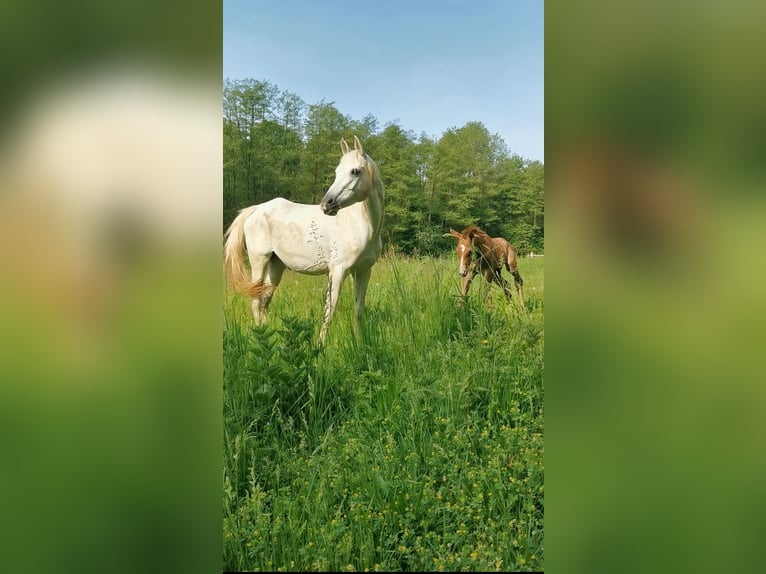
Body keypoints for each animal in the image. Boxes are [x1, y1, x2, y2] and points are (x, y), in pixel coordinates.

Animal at [224, 136, 385, 344]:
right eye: (337, 172)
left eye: (355, 171)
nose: (327, 204)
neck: (363, 226)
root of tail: (256, 209)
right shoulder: (337, 271)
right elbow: (329, 311)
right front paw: (320, 345)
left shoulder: (363, 272)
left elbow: (358, 310)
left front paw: (359, 342)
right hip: (259, 262)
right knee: (256, 300)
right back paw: (259, 334)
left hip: (276, 266)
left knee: (265, 299)